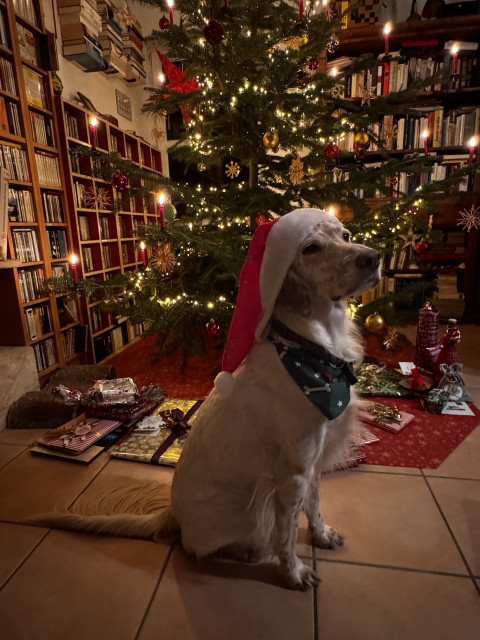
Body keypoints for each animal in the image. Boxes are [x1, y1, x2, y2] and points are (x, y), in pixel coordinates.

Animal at [32, 210, 378, 592]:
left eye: (346, 235)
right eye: (311, 248)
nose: (373, 258)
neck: (312, 354)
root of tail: (172, 512)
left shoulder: (313, 464)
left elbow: (314, 508)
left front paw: (321, 535)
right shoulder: (294, 473)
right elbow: (287, 536)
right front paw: (294, 573)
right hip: (245, 512)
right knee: (194, 546)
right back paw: (246, 551)